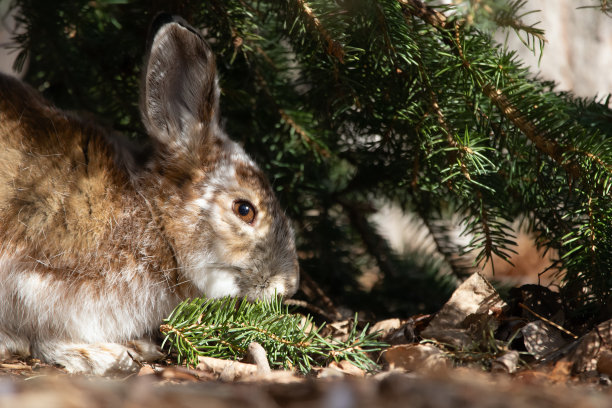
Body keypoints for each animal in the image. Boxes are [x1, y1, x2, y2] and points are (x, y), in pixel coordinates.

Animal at [0, 14, 298, 374]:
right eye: (244, 210)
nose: (288, 286)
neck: (155, 216)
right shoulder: (35, 284)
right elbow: (46, 339)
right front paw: (104, 355)